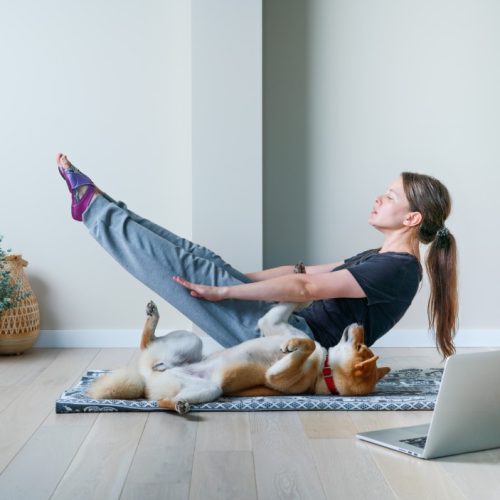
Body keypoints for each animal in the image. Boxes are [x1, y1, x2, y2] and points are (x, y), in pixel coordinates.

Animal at [87, 300, 390, 414]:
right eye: (363, 346)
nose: (360, 322)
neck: (323, 370)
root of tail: (146, 378)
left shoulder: (276, 375)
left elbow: (306, 344)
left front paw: (294, 345)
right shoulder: (272, 322)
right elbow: (295, 316)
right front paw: (301, 276)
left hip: (210, 388)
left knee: (163, 399)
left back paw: (179, 405)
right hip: (192, 342)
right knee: (147, 344)